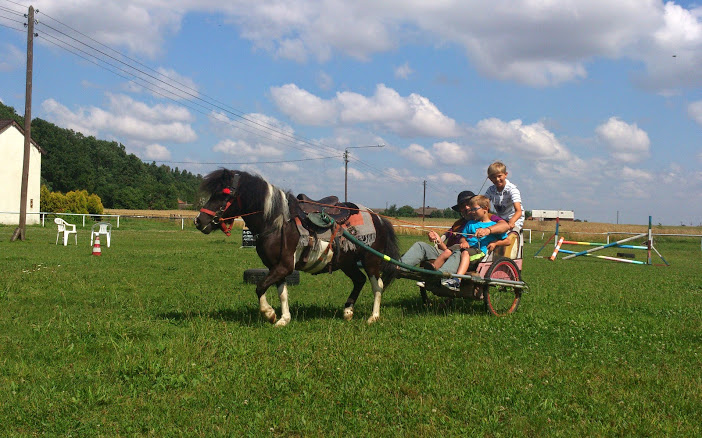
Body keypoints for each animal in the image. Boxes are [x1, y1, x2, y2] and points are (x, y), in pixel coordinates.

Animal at [195, 169, 398, 326]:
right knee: (359, 280)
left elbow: (260, 287)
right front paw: (284, 319)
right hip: (346, 263)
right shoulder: (275, 267)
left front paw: (269, 313)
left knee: (377, 285)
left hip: (371, 261)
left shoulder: (284, 266)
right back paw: (347, 311)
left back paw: (373, 317)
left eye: (224, 194)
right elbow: (282, 292)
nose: (199, 221)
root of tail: (378, 217)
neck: (277, 222)